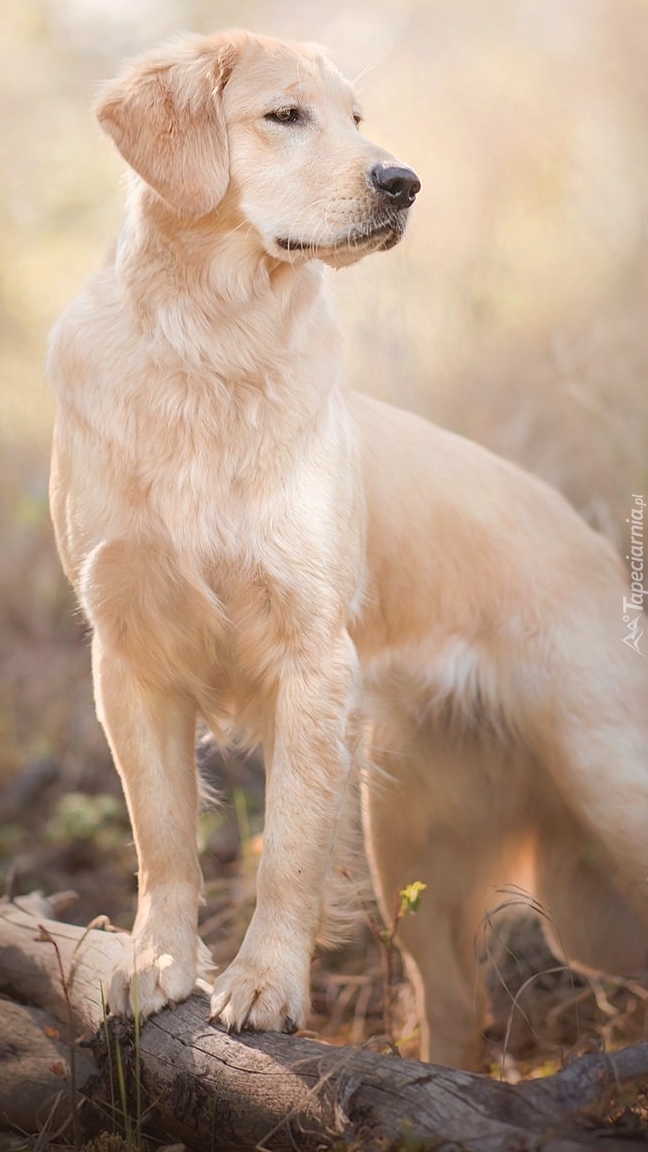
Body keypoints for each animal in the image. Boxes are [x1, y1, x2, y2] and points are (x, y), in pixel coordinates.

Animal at [46, 29, 645, 1069]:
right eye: (286, 115)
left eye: (359, 118)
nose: (404, 181)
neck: (213, 343)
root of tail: (587, 537)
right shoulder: (129, 653)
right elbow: (161, 834)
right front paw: (156, 965)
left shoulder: (310, 655)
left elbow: (287, 847)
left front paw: (263, 985)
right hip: (417, 846)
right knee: (455, 1009)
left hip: (606, 786)